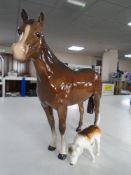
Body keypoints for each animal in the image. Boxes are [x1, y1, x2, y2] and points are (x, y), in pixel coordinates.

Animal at [11, 9, 101, 160]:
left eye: (38, 33)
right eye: (19, 30)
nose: (18, 51)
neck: (52, 76)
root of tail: (95, 72)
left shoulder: (62, 107)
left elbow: (62, 127)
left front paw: (62, 153)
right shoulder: (45, 105)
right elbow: (52, 124)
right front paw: (52, 145)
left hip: (97, 96)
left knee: (97, 114)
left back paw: (94, 131)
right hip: (81, 99)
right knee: (82, 111)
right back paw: (79, 128)